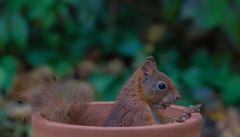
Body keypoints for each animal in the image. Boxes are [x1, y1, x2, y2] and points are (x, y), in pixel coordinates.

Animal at [23, 56, 199, 126]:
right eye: (162, 86)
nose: (178, 96)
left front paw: (187, 112)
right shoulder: (137, 113)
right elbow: (150, 125)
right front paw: (176, 121)